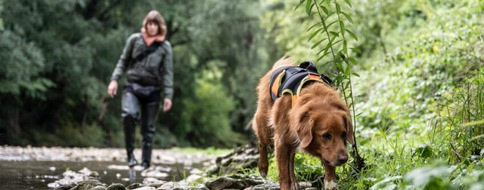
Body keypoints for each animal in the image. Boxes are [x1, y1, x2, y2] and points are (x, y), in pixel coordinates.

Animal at [251, 56, 354, 190]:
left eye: (343, 134)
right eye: (326, 135)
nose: (344, 159)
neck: (319, 98)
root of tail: (277, 67)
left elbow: (327, 161)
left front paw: (331, 182)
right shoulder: (281, 141)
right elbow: (283, 172)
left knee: (290, 159)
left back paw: (294, 182)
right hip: (266, 127)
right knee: (261, 142)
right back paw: (263, 167)